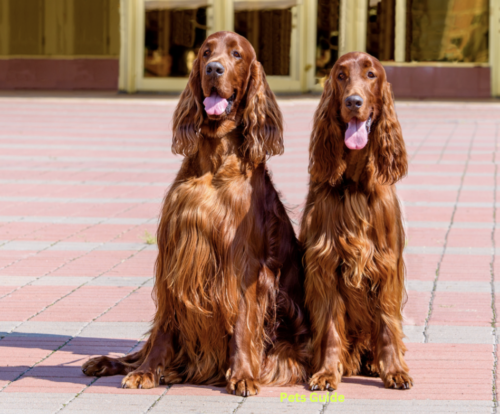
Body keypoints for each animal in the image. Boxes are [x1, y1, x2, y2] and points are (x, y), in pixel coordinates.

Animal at [82, 30, 308, 396]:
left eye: (237, 54)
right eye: (205, 52)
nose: (214, 69)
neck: (214, 163)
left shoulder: (246, 264)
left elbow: (244, 323)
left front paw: (242, 374)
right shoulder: (176, 254)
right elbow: (163, 327)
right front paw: (147, 371)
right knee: (143, 348)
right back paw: (110, 363)